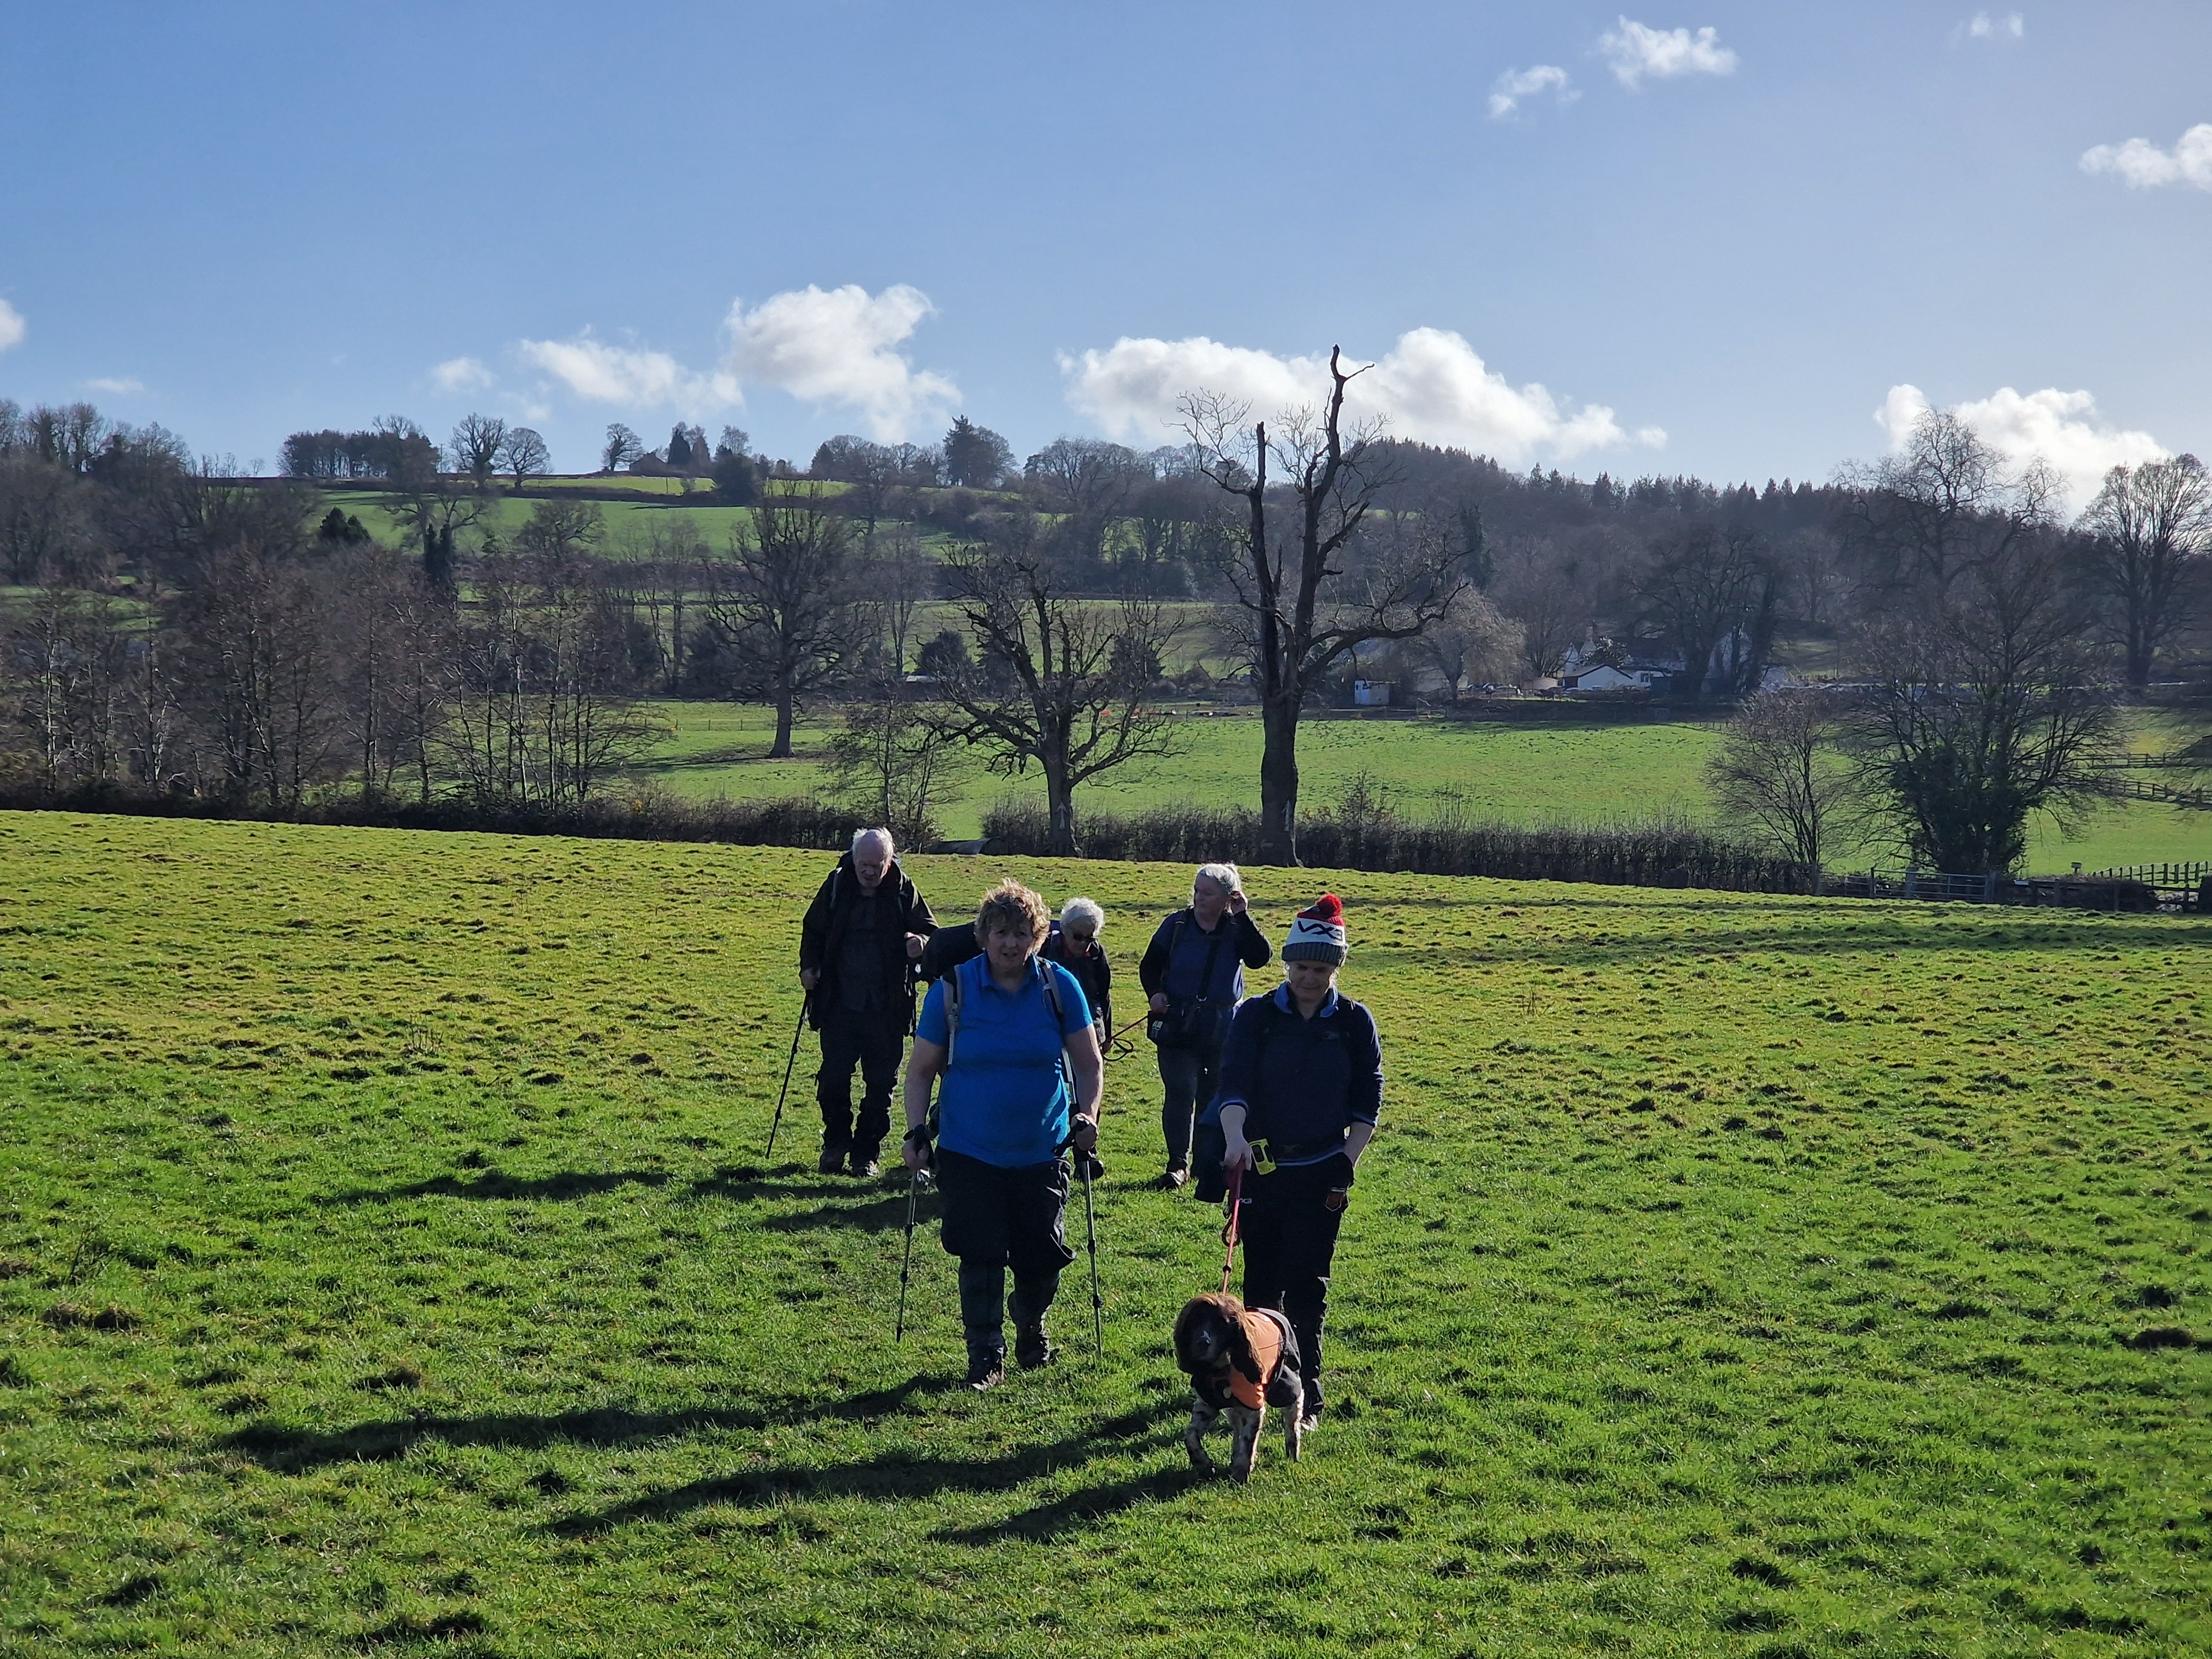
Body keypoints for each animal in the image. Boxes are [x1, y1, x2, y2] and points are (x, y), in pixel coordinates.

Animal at [1171, 1292, 1303, 1481]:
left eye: (1222, 1325)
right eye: (1196, 1321)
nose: (1203, 1342)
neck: (1221, 1371)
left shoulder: (1253, 1404)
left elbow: (1248, 1441)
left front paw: (1241, 1471)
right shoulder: (1207, 1404)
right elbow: (1190, 1436)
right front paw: (1203, 1464)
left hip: (1285, 1382)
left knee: (1292, 1417)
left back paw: (1293, 1450)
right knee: (1237, 1426)